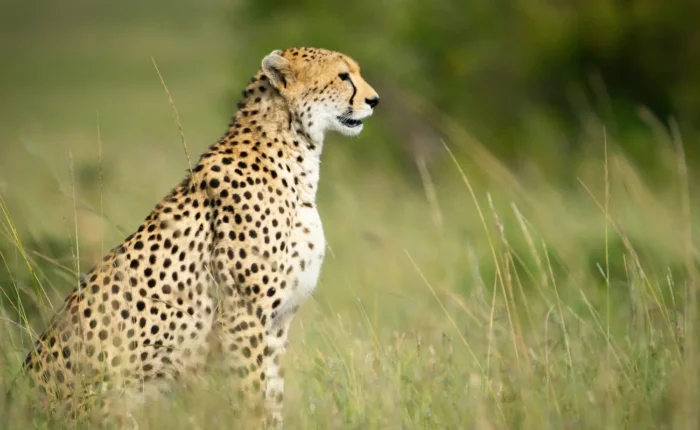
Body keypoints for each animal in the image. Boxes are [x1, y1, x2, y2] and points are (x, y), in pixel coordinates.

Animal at [21, 46, 380, 428]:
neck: (294, 150)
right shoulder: (242, 317)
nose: (374, 100)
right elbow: (253, 394)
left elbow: (273, 396)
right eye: (343, 76)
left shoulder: (276, 324)